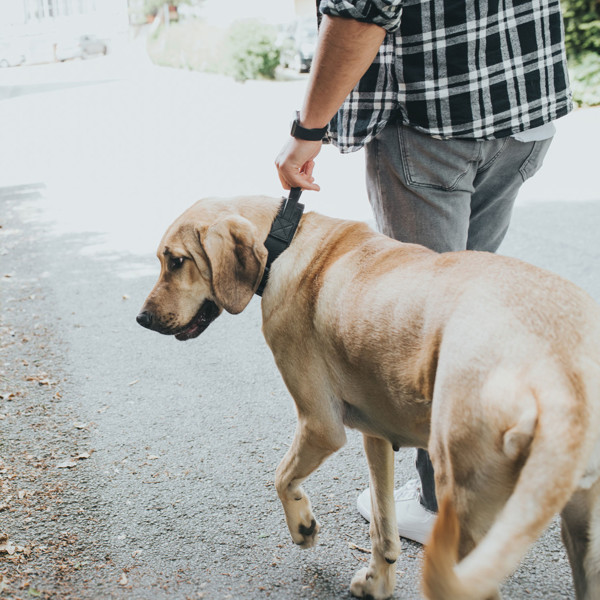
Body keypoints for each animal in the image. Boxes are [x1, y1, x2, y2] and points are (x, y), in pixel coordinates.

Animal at [138, 197, 600, 600]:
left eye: (176, 260)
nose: (141, 319)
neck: (287, 240)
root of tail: (561, 377)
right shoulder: (376, 436)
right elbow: (382, 525)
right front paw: (379, 582)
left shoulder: (320, 426)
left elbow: (281, 476)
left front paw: (303, 527)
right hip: (579, 530)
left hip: (469, 510)